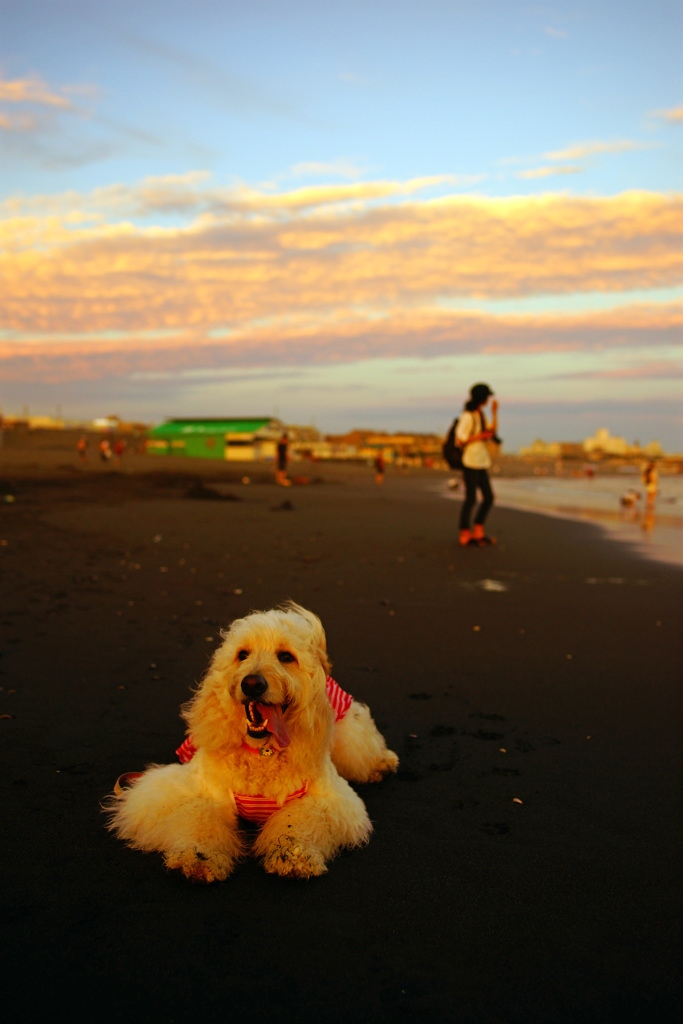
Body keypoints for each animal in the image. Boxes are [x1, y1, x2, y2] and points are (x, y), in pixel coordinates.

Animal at [104, 598, 397, 880]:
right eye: (242, 654)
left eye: (286, 656)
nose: (252, 684)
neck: (262, 752)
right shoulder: (185, 791)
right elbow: (198, 821)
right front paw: (199, 857)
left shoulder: (330, 799)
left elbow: (297, 823)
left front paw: (294, 856)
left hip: (347, 723)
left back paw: (381, 764)